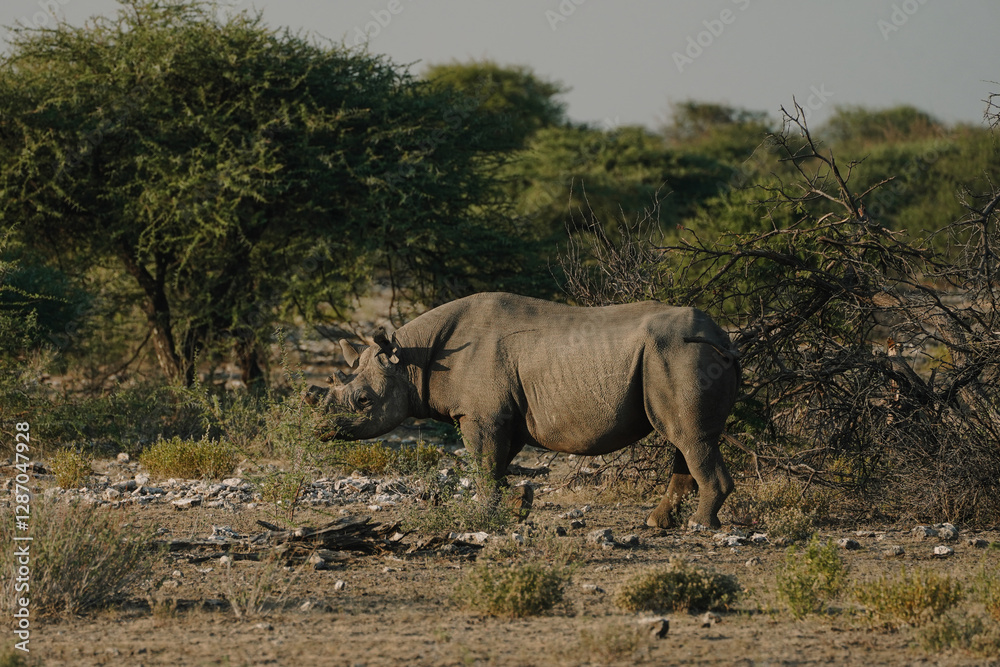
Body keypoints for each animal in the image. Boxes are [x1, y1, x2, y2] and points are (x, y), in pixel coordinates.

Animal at [315, 292, 740, 528]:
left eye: (363, 401)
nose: (320, 431)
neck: (411, 359)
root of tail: (722, 337)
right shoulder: (503, 415)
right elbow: (496, 465)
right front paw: (518, 506)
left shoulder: (480, 415)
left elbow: (484, 465)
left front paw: (484, 517)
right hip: (678, 356)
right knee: (687, 439)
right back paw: (658, 523)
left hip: (679, 354)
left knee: (690, 438)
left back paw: (699, 527)